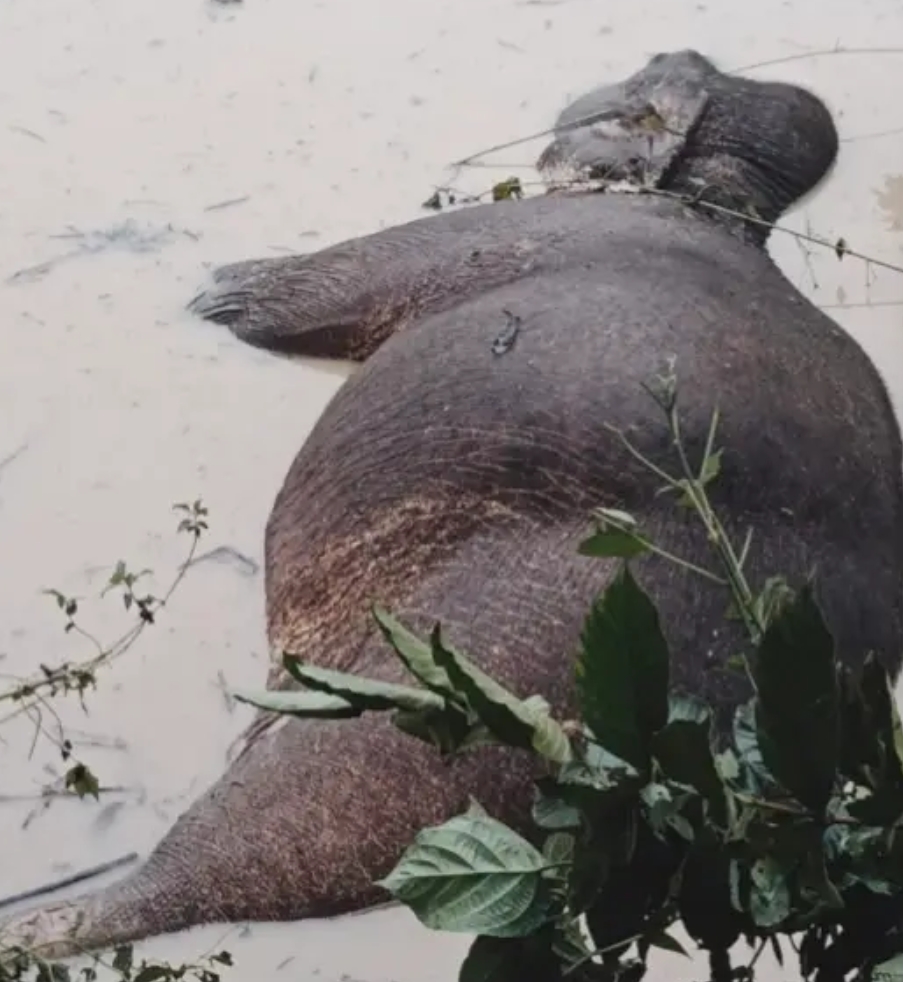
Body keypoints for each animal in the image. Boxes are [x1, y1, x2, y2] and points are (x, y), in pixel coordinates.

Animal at [3, 48, 902, 961]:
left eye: (649, 80)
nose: (675, 53)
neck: (714, 205)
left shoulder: (439, 245)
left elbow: (257, 301)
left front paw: (215, 289)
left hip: (431, 678)